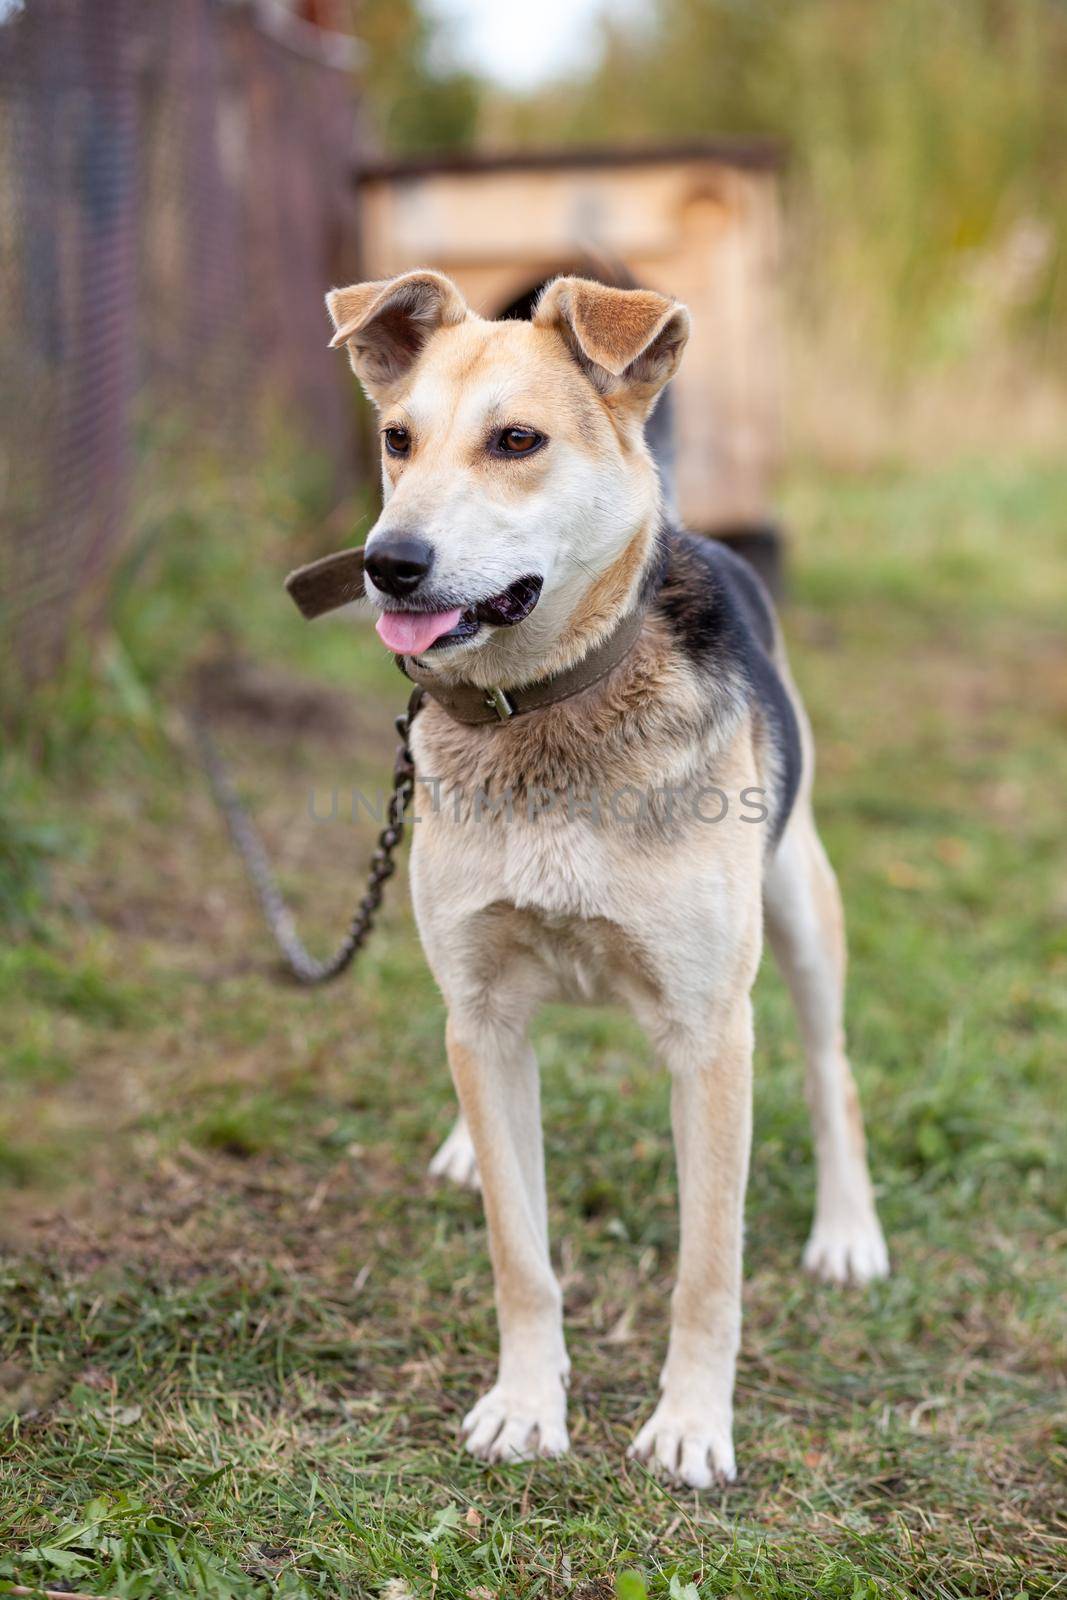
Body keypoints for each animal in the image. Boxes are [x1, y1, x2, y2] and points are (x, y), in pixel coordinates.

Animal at [326, 265, 895, 1484]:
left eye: (516, 440)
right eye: (396, 439)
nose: (387, 563)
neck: (541, 708)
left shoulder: (712, 1036)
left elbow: (706, 1269)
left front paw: (689, 1424)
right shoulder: (484, 1009)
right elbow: (520, 1250)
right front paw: (525, 1405)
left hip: (799, 907)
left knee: (831, 1073)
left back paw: (846, 1233)